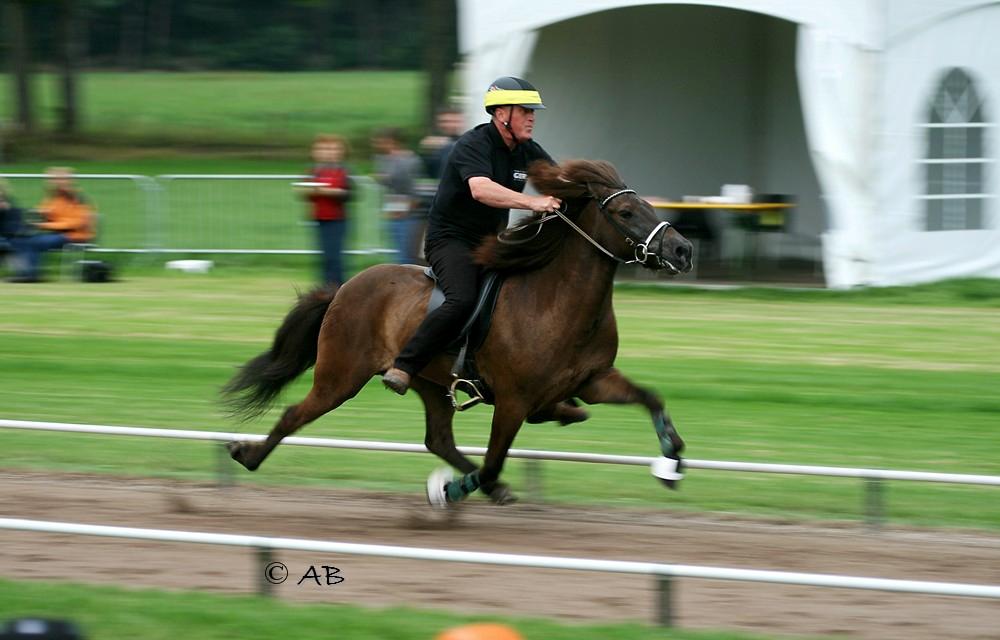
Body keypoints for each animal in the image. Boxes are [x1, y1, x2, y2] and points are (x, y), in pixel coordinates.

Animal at [225, 159, 696, 504]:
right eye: (625, 212)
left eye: (648, 205)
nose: (682, 249)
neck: (555, 302)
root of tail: (343, 287)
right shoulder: (512, 402)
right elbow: (492, 461)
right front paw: (452, 489)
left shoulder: (595, 380)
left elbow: (650, 398)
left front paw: (671, 458)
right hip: (341, 376)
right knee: (294, 413)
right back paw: (246, 455)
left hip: (430, 383)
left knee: (438, 439)